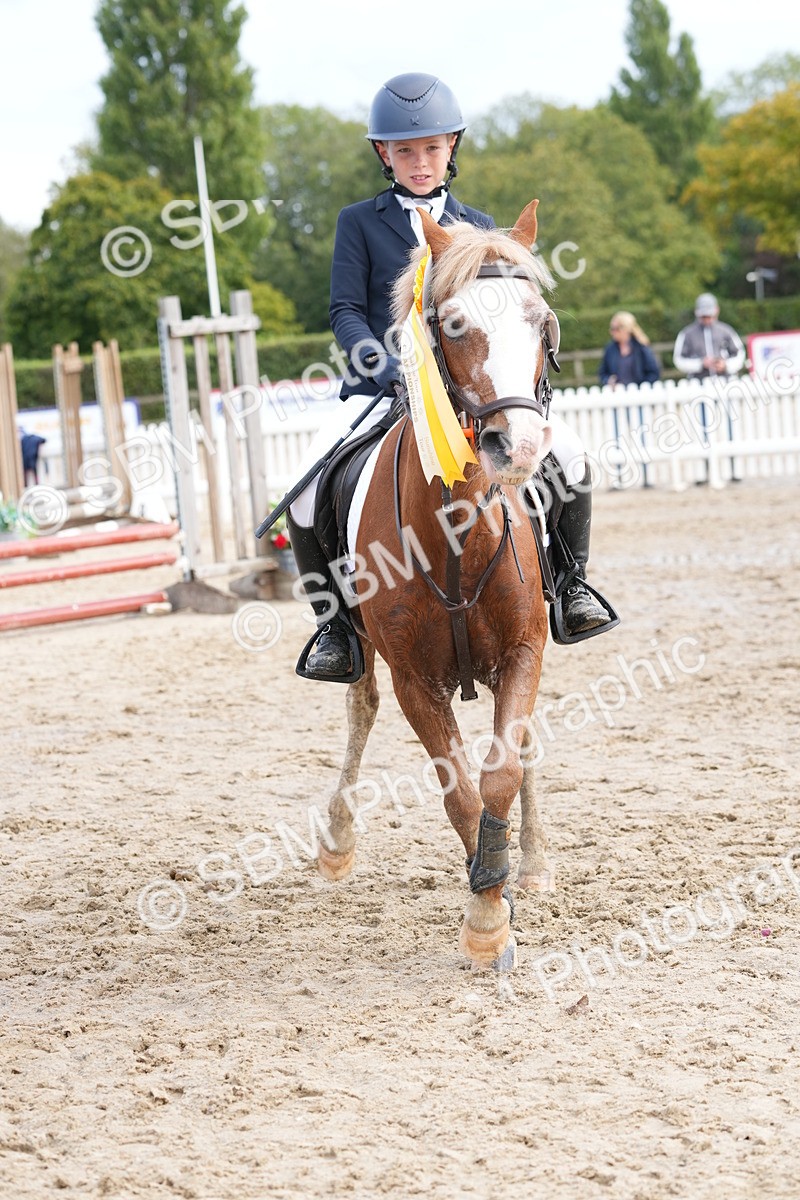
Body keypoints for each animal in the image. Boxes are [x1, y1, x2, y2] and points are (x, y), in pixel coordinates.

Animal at [317, 200, 559, 970]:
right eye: (453, 325)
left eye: (542, 322)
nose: (518, 448)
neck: (457, 533)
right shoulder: (415, 680)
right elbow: (458, 790)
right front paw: (487, 915)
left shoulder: (524, 650)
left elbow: (501, 773)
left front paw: (502, 881)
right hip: (360, 648)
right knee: (358, 708)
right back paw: (337, 841)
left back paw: (533, 862)